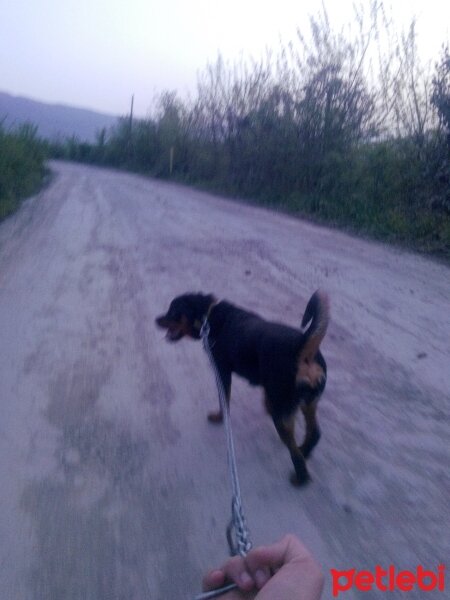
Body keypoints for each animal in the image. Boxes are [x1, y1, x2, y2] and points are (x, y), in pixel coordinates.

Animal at [156, 290, 328, 488]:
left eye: (173, 311)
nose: (156, 320)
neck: (208, 316)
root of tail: (304, 348)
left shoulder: (222, 372)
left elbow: (224, 400)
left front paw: (220, 417)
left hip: (279, 409)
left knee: (293, 449)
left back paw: (300, 477)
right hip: (308, 403)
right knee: (314, 433)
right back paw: (305, 451)